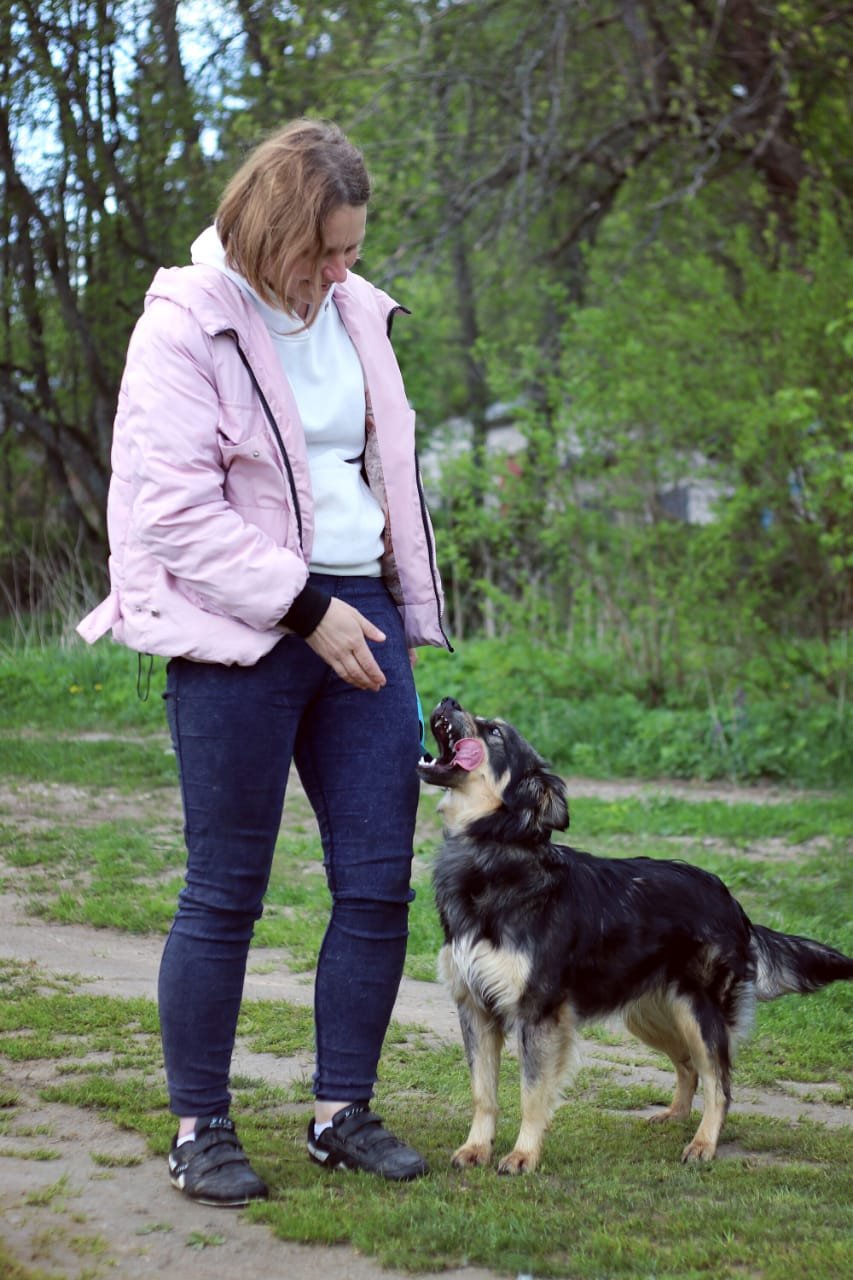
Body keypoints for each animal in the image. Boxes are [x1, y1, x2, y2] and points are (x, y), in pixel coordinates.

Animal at [417, 697, 853, 1172]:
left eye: (494, 732)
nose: (448, 701)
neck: (493, 856)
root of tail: (731, 899)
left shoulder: (538, 1013)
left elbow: (532, 1094)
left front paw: (523, 1156)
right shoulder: (474, 1008)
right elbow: (483, 1093)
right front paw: (476, 1148)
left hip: (699, 1012)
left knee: (719, 1083)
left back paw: (703, 1143)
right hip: (649, 1013)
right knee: (689, 1066)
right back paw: (675, 1116)